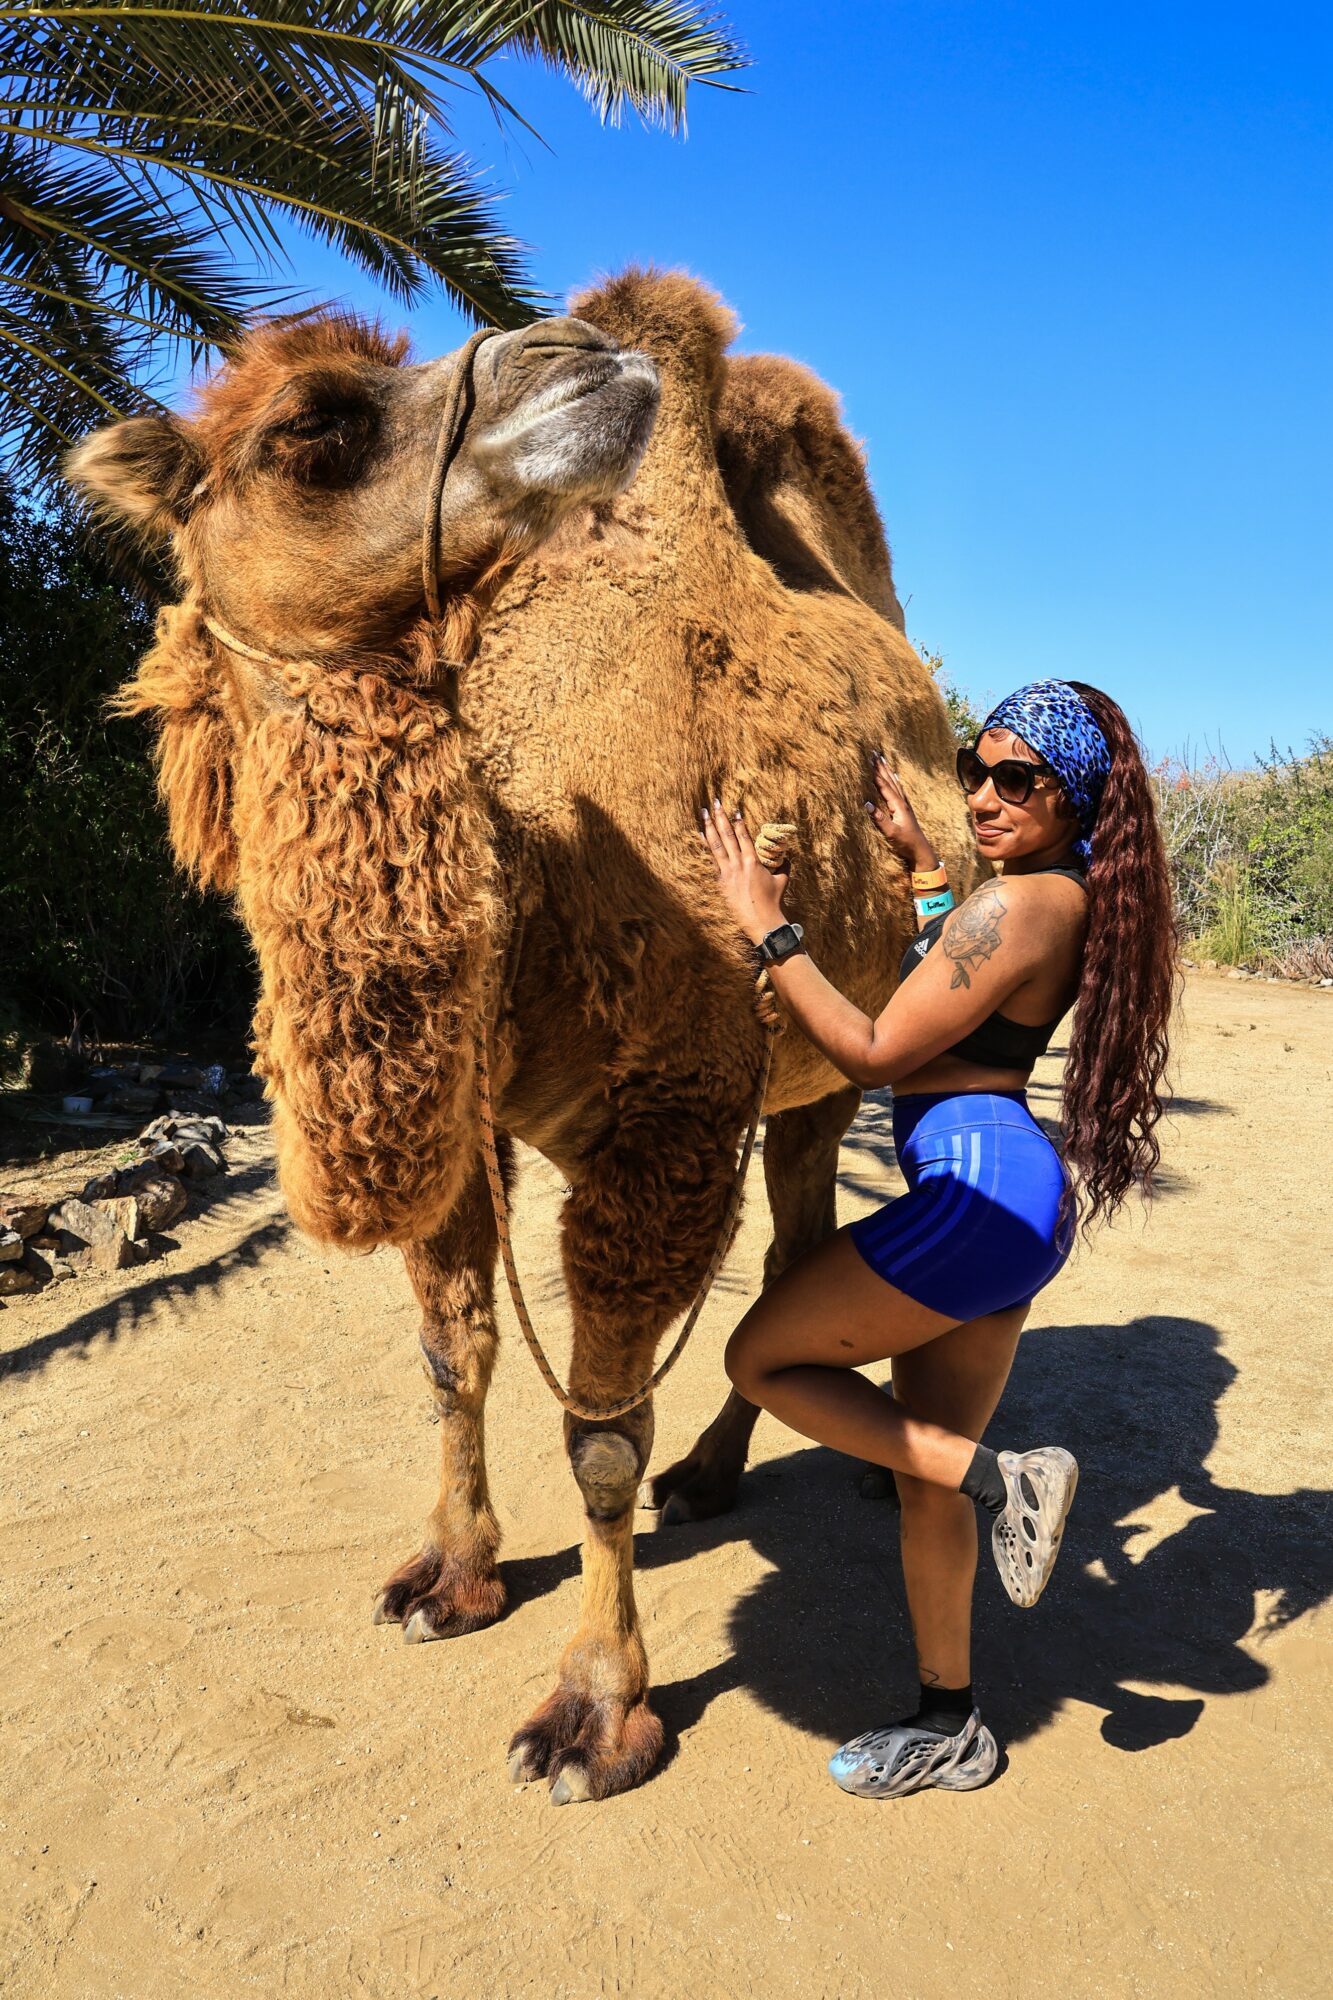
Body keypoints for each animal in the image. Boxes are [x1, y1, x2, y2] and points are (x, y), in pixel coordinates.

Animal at [67, 268, 974, 1804]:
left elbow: (601, 1435)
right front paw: (451, 1573)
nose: (582, 352)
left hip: (887, 1016)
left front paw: (596, 1706)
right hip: (810, 1060)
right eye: (313, 427)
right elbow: (456, 1354)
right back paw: (724, 1472)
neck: (529, 881)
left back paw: (835, 1461)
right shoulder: (460, 1111)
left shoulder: (665, 1126)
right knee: (801, 1234)